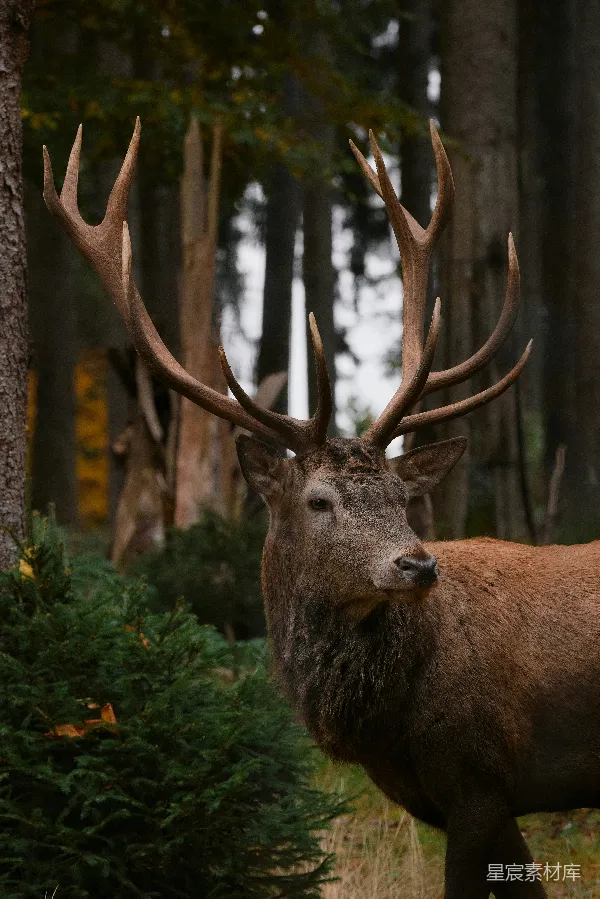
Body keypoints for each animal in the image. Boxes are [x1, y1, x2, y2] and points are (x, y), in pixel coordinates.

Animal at [43, 117, 600, 899]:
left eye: (403, 497)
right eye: (318, 499)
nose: (416, 564)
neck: (387, 724)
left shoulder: (480, 773)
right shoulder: (478, 793)